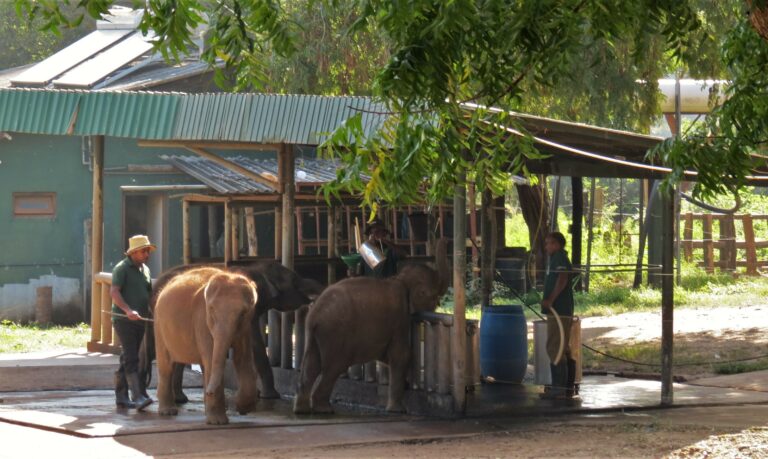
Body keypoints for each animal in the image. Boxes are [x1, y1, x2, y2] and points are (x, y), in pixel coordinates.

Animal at [141, 260, 324, 404]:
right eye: (294, 281)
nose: (312, 301)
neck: (257, 268)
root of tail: (154, 286)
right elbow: (255, 343)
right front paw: (271, 396)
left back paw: (178, 399)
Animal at [154, 268, 260, 426]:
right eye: (211, 310)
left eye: (243, 313)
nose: (210, 391)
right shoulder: (202, 321)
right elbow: (211, 359)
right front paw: (218, 422)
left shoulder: (246, 327)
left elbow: (243, 359)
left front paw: (243, 408)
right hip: (159, 327)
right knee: (166, 366)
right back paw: (168, 412)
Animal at [294, 239, 450, 416]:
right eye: (433, 295)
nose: (444, 239)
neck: (400, 279)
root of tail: (314, 315)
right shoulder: (399, 316)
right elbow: (401, 354)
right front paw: (398, 410)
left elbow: (389, 357)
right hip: (334, 334)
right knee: (333, 368)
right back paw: (325, 410)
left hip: (315, 334)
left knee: (311, 365)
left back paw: (301, 410)